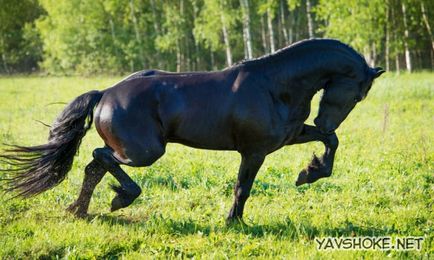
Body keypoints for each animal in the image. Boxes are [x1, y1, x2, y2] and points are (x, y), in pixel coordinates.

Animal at [1, 39, 384, 223]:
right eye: (358, 94)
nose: (325, 120)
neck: (275, 86)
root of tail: (106, 93)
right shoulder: (254, 151)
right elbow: (243, 187)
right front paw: (233, 221)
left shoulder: (289, 136)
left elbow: (331, 142)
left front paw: (309, 173)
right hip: (144, 152)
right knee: (100, 158)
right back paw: (121, 197)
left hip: (135, 151)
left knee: (93, 167)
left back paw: (81, 210)